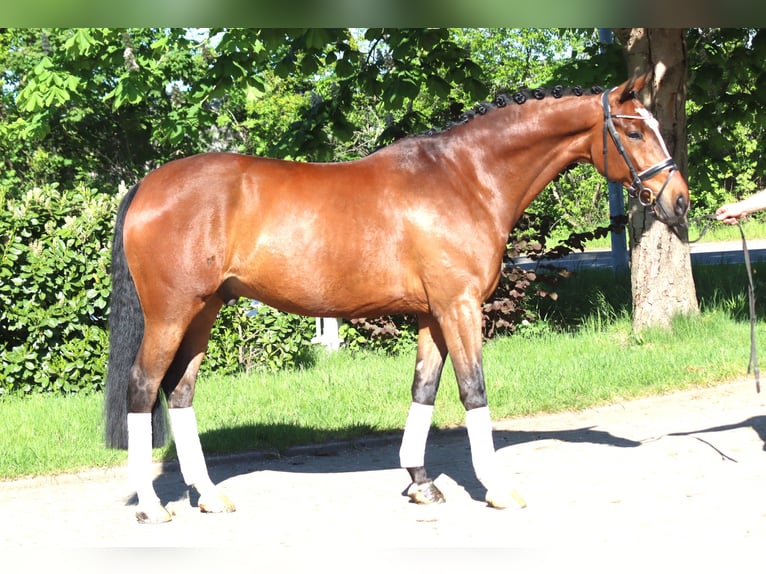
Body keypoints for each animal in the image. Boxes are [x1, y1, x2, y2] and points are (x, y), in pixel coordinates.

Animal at [104, 72, 689, 523]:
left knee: (180, 391)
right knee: (144, 387)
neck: (464, 178)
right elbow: (473, 389)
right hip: (171, 314)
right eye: (633, 130)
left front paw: (420, 482)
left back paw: (208, 496)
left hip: (203, 312)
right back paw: (152, 507)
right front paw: (497, 488)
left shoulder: (433, 315)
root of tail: (146, 187)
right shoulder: (459, 307)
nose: (679, 202)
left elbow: (424, 388)